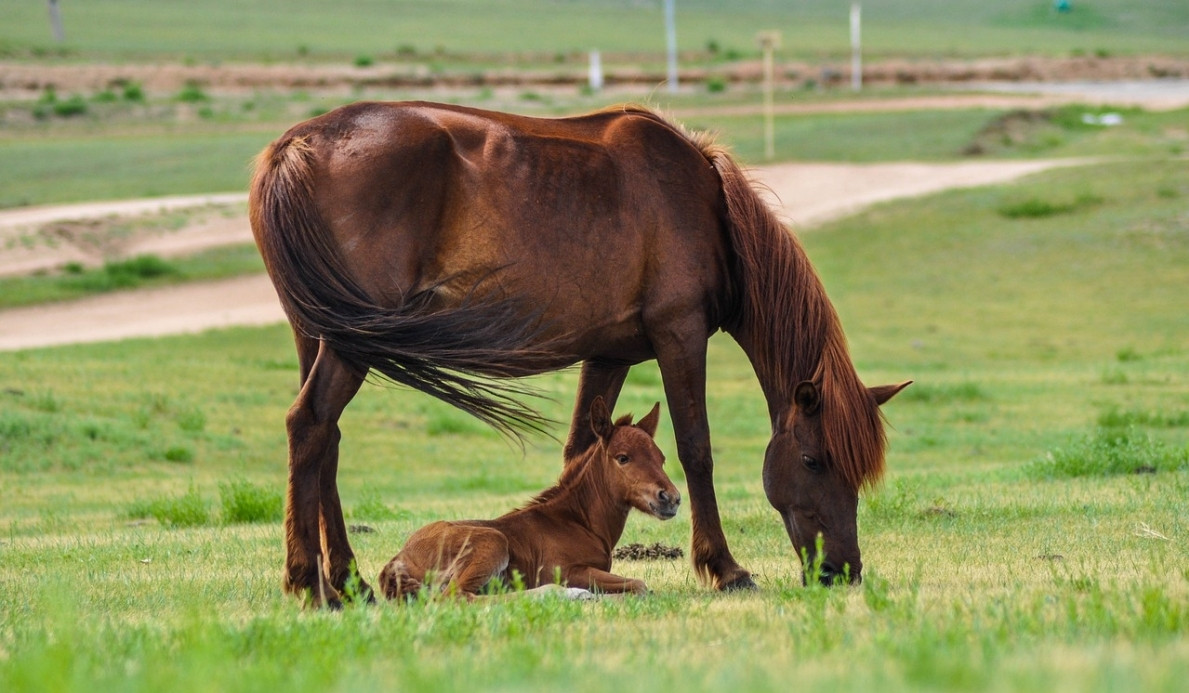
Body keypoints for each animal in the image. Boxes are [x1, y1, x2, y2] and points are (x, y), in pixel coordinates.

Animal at [380, 399, 680, 599]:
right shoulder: (568, 570)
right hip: (492, 542)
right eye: (623, 458)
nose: (671, 498)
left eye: (661, 458)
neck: (578, 522)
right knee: (458, 597)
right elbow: (639, 585)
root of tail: (398, 559)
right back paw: (564, 594)